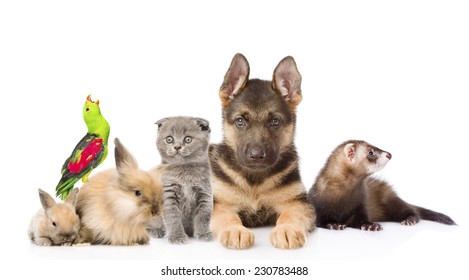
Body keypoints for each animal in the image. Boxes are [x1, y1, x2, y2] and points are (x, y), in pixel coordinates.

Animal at [208, 53, 314, 249]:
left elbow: (289, 216)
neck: (255, 180)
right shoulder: (221, 205)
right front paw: (235, 230)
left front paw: (286, 229)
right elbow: (229, 218)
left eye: (275, 122)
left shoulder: (297, 203)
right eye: (240, 121)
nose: (256, 156)